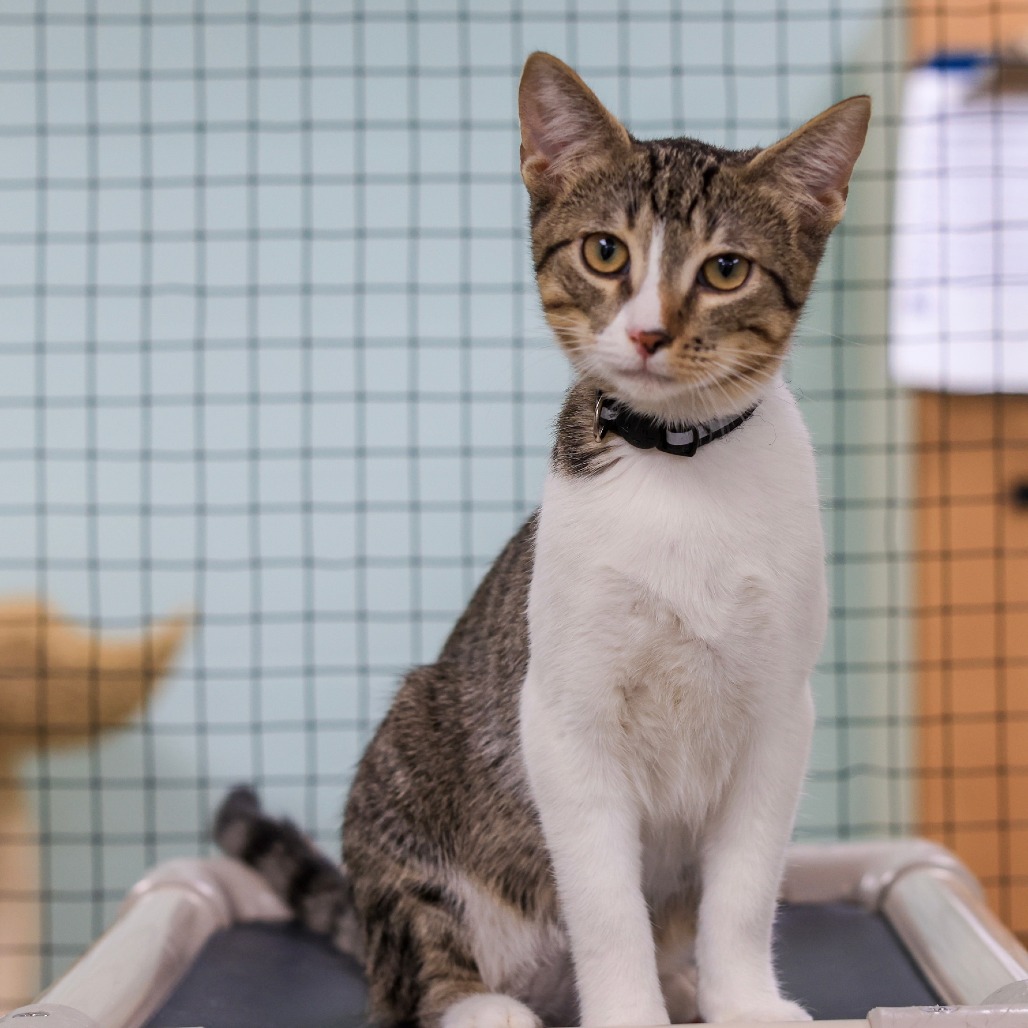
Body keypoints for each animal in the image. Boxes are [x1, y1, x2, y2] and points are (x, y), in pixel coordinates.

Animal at [216, 51, 869, 1028]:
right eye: (606, 252)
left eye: (725, 269)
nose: (648, 332)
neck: (679, 470)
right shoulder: (564, 719)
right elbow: (605, 904)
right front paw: (631, 1011)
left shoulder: (778, 717)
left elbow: (745, 892)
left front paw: (745, 999)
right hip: (407, 769)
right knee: (416, 970)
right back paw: (486, 1006)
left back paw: (682, 985)